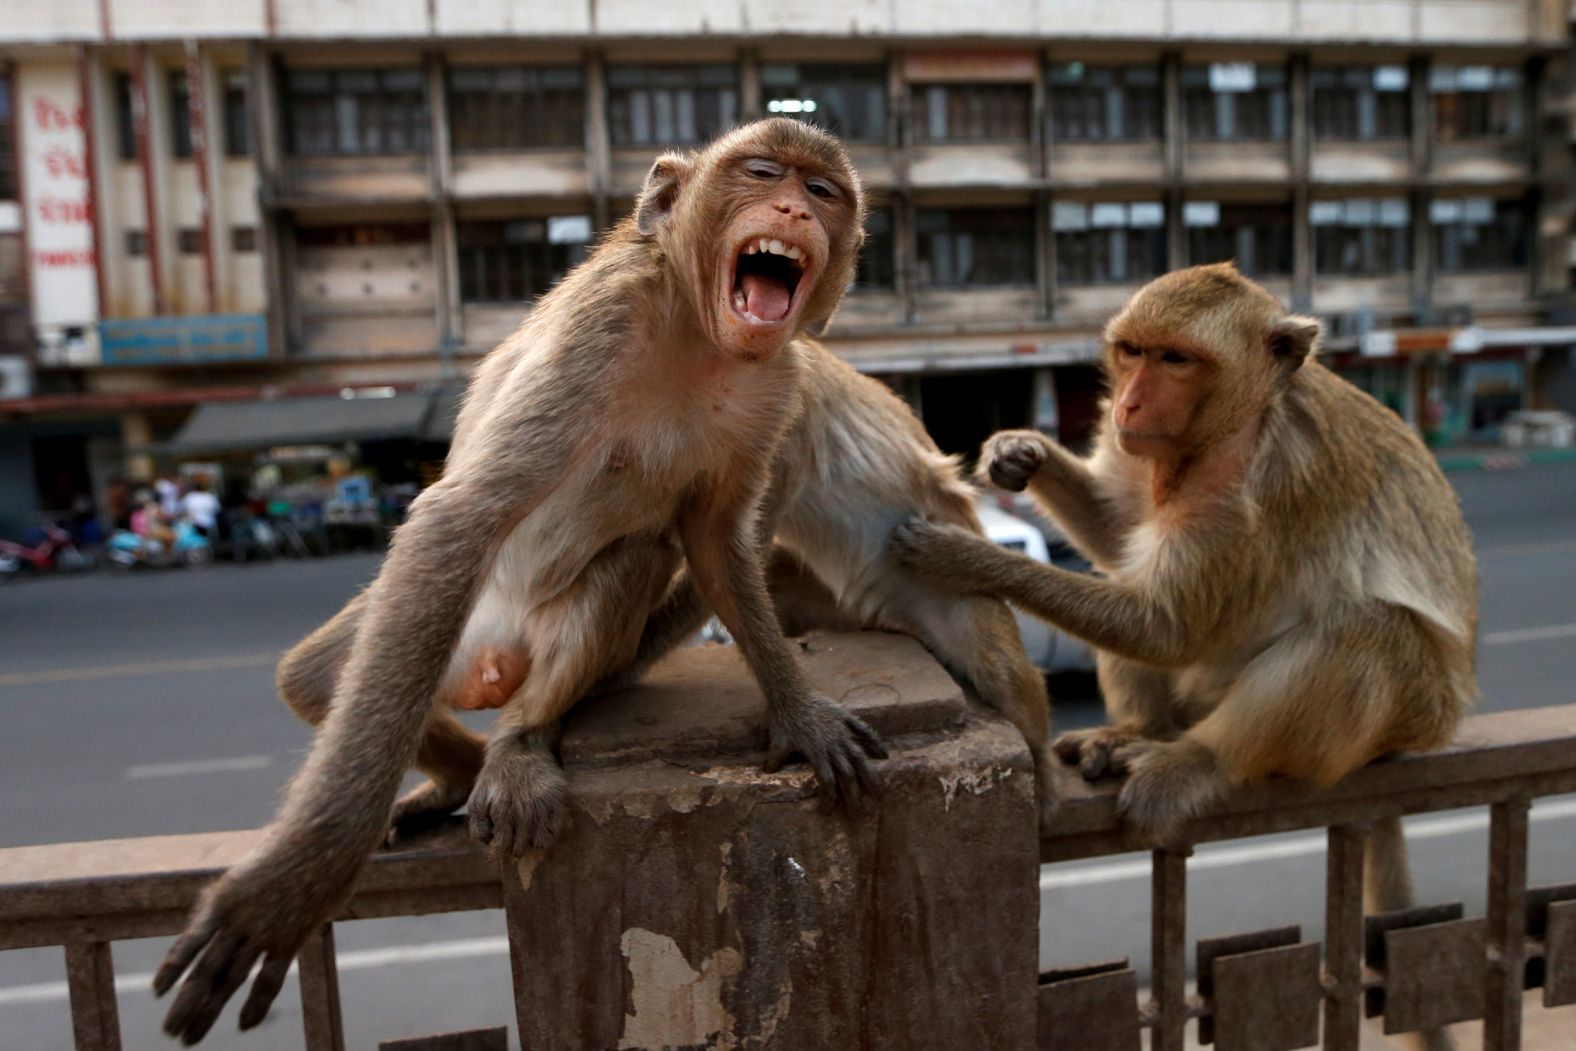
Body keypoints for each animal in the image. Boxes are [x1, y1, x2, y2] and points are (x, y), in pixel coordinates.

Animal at [901, 261, 1475, 895]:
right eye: (1132, 351)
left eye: (1176, 359)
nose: (1128, 405)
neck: (1236, 423)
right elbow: (1121, 538)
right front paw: (1020, 452)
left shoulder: (1251, 489)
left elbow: (1166, 628)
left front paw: (963, 556)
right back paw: (1135, 729)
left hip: (1405, 722)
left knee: (1368, 630)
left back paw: (1200, 759)